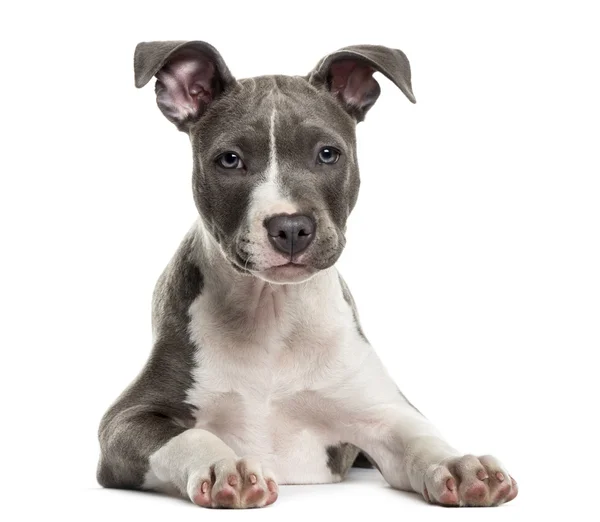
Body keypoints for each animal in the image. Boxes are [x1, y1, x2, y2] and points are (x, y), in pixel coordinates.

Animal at [96, 41, 516, 508]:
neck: (272, 311)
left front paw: (460, 465)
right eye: (230, 160)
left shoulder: (384, 413)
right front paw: (225, 465)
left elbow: (419, 438)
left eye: (327, 153)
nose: (291, 227)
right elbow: (189, 437)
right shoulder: (124, 420)